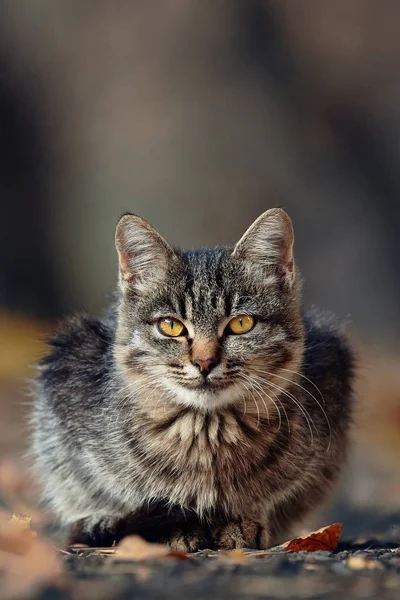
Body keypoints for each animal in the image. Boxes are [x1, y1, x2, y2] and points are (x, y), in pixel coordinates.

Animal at [32, 209, 354, 552]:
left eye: (242, 323)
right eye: (171, 326)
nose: (204, 362)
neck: (206, 431)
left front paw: (241, 520)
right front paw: (176, 527)